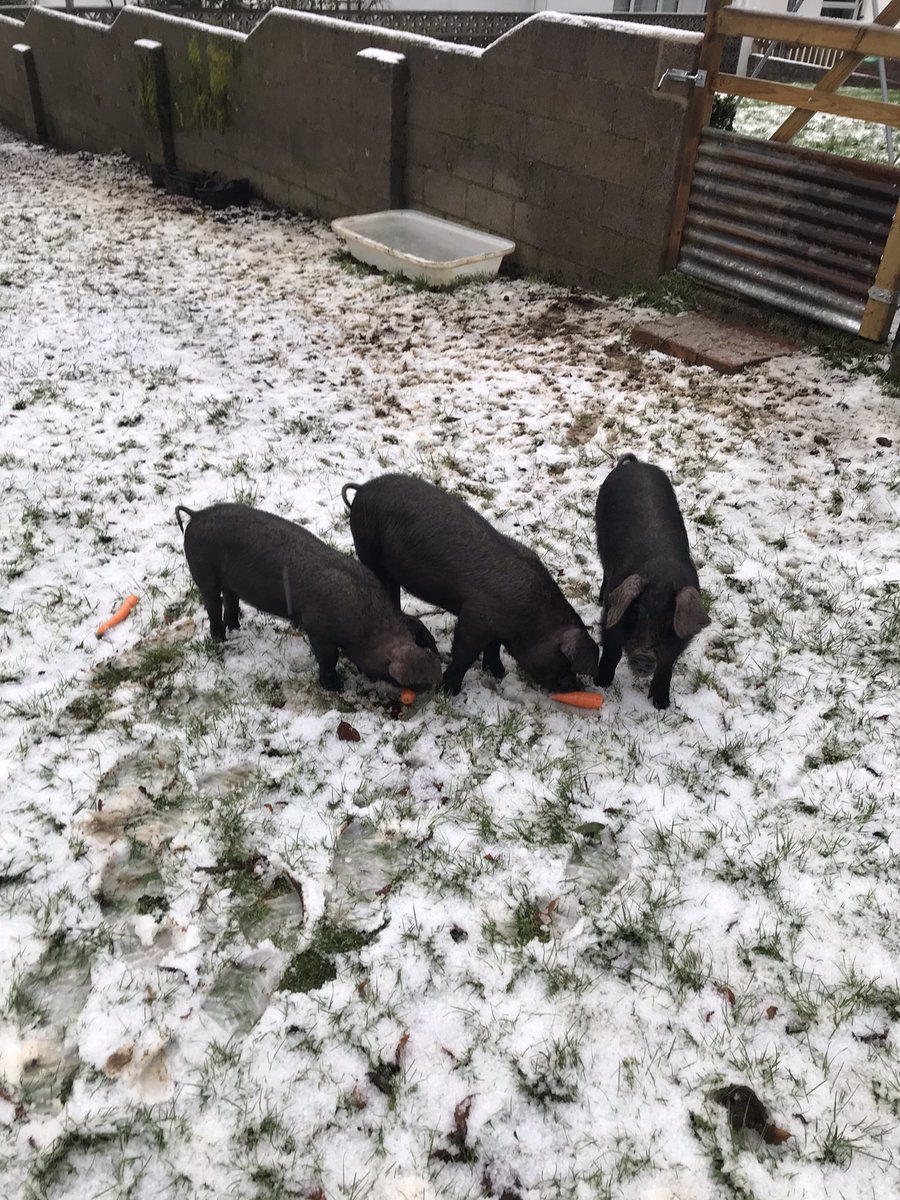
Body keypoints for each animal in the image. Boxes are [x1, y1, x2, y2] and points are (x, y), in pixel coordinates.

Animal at [175, 503, 441, 694]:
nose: (433, 674)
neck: (367, 626)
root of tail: (196, 515)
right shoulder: (316, 627)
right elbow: (328, 658)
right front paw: (336, 688)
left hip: (230, 582)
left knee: (231, 599)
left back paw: (236, 629)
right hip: (203, 573)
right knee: (212, 604)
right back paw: (219, 640)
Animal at [341, 474, 599, 695]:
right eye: (564, 662)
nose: (575, 687)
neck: (531, 619)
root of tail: (362, 489)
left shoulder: (495, 627)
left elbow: (493, 647)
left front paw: (498, 673)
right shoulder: (475, 618)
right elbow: (465, 653)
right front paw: (450, 691)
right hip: (366, 546)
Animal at [594, 454, 710, 710]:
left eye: (669, 621)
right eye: (636, 613)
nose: (644, 656)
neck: (663, 576)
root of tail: (635, 464)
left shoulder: (679, 642)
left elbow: (666, 666)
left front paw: (661, 705)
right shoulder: (610, 614)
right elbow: (611, 653)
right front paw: (600, 684)